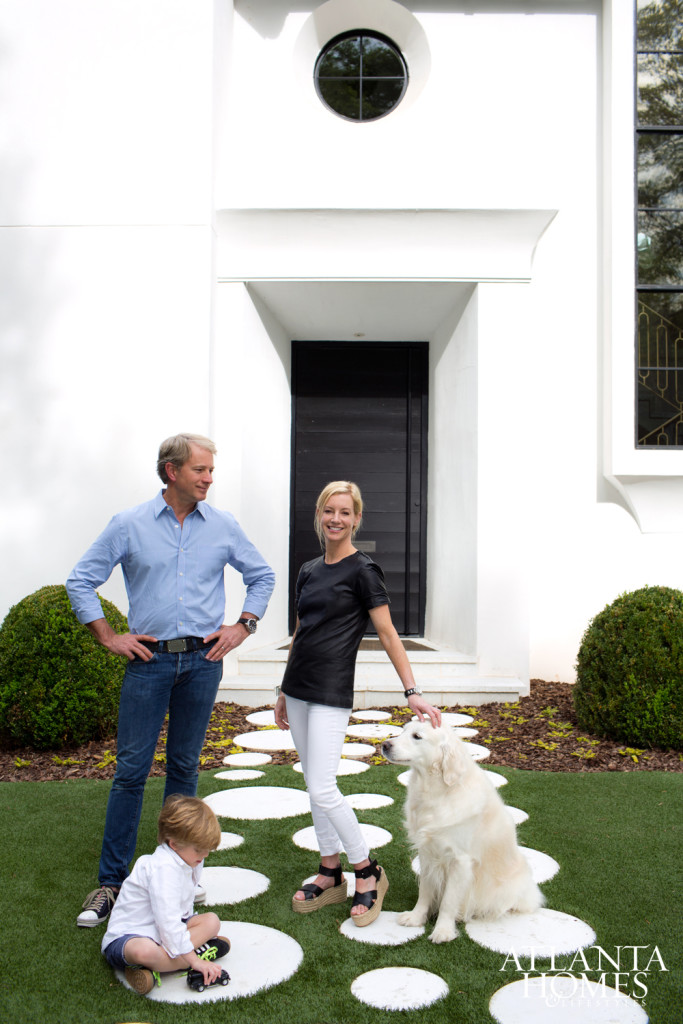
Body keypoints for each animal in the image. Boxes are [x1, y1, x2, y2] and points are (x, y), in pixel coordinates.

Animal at [382, 720, 540, 942]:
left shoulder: (460, 860)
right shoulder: (428, 853)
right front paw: (416, 917)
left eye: (417, 736)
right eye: (403, 731)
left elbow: (448, 901)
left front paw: (442, 931)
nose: (385, 745)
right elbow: (425, 890)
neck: (437, 791)